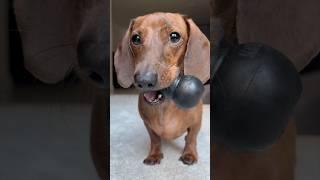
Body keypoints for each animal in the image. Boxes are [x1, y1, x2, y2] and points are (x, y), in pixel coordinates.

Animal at [114, 12, 210, 165]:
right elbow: (155, 139)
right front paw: (154, 154)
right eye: (135, 38)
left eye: (175, 36)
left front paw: (189, 154)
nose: (144, 81)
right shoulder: (148, 124)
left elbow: (191, 138)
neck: (165, 104)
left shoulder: (196, 123)